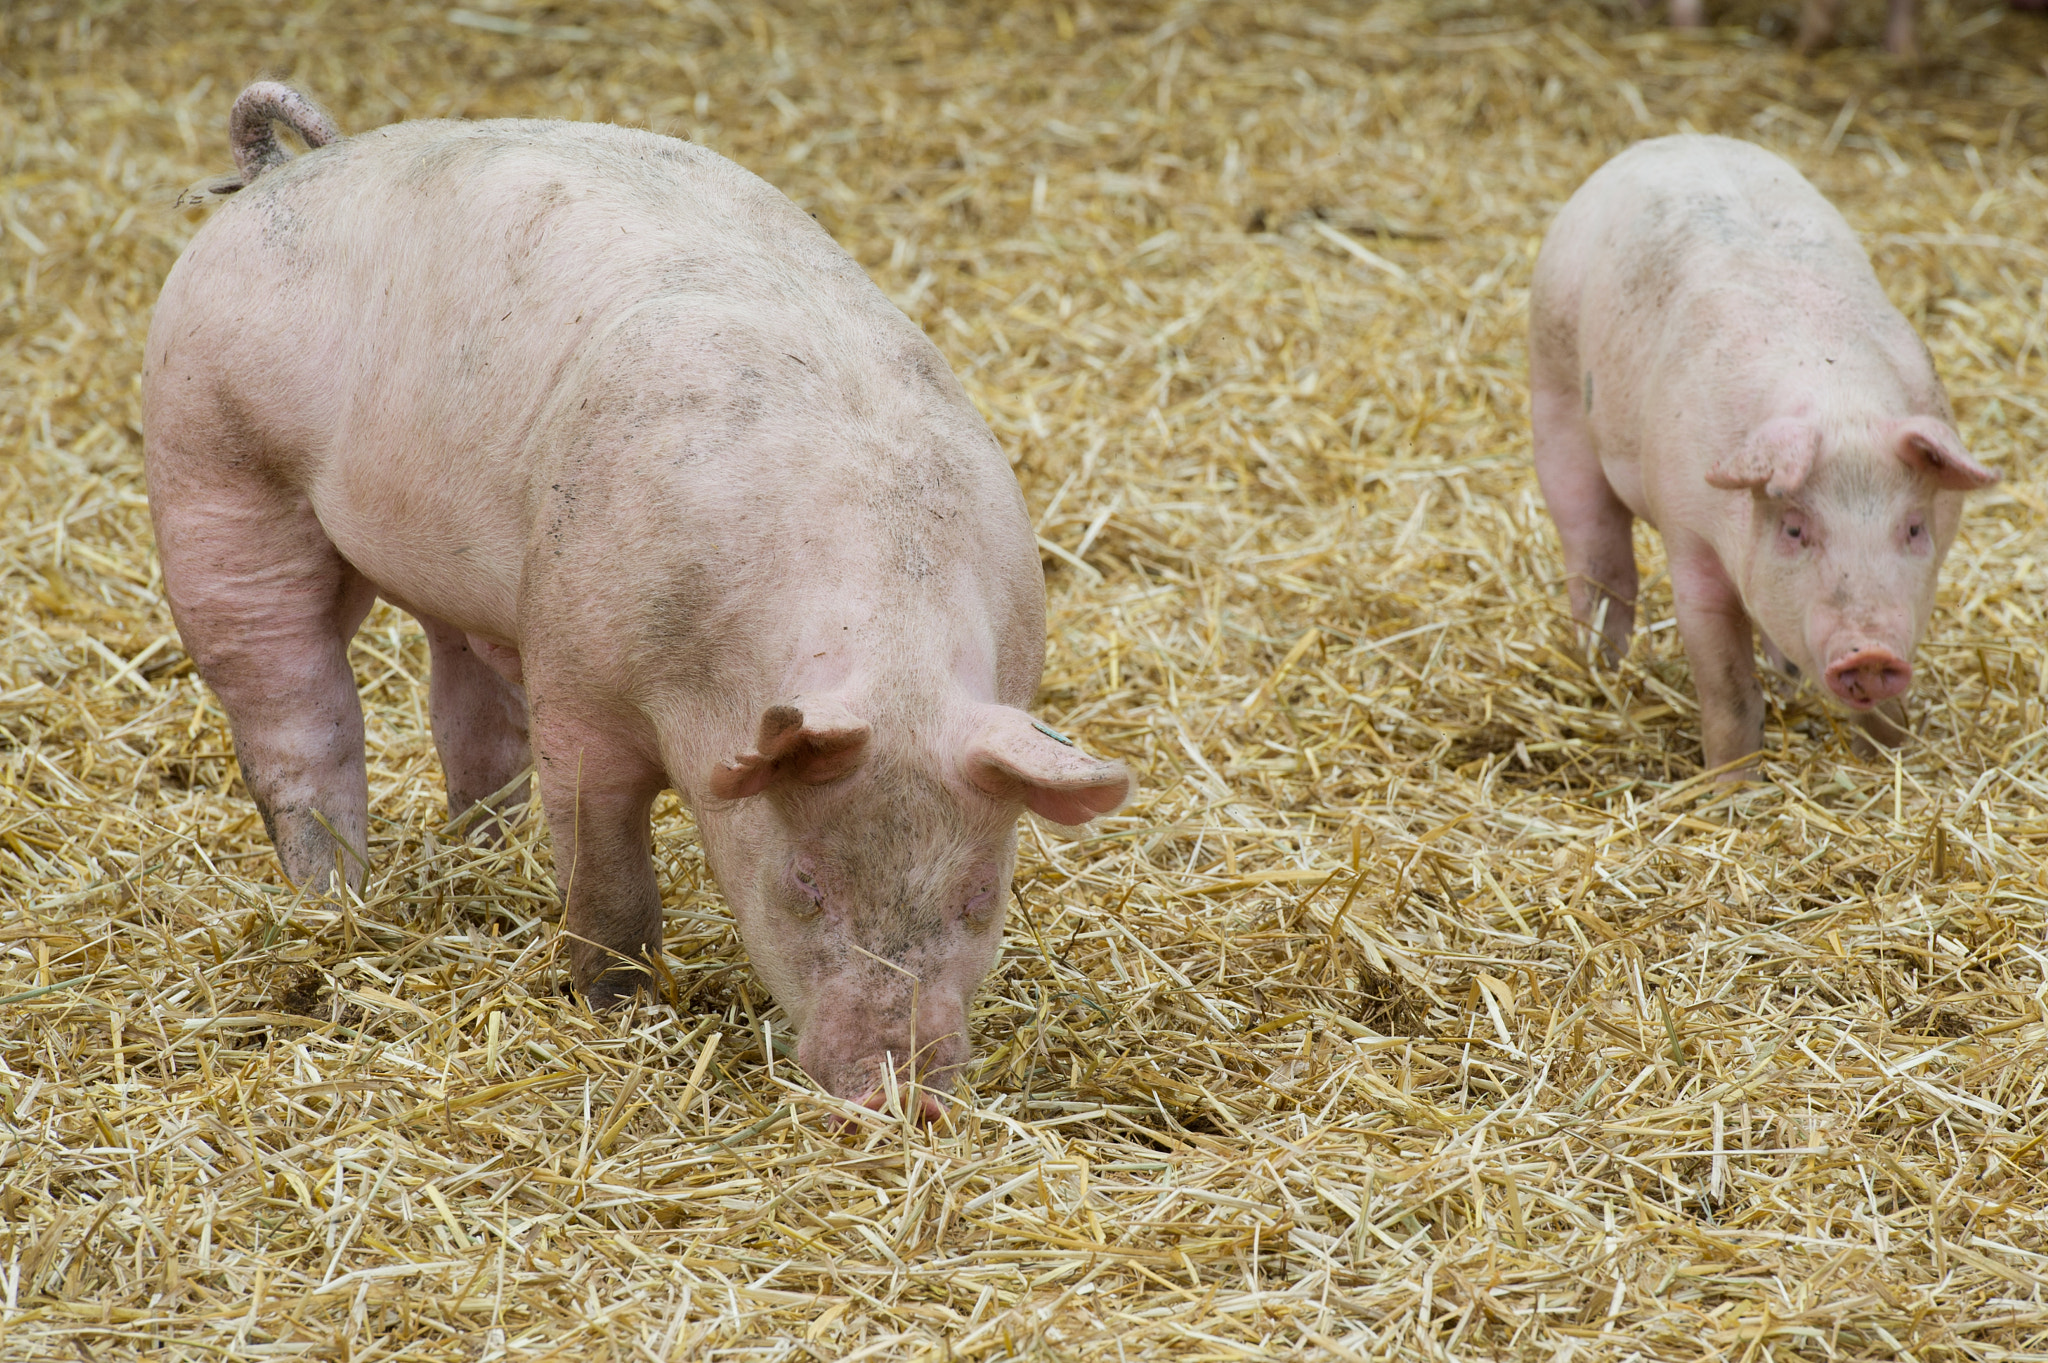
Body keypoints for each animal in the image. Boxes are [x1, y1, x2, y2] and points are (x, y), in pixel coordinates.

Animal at [144, 83, 1132, 1120]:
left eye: (980, 893)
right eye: (805, 882)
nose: (896, 1092)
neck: (888, 643)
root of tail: (277, 172)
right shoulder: (581, 676)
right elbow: (606, 864)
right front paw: (620, 1009)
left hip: (479, 579)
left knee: (467, 707)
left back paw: (485, 854)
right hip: (213, 465)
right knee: (294, 711)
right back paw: (334, 896)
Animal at [1528, 135, 1996, 776]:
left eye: (1914, 528)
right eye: (1794, 529)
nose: (1870, 652)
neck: (1837, 403)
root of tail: (1671, 141)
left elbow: (1884, 710)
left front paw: (1885, 763)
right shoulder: (1689, 536)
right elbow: (1727, 687)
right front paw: (1732, 784)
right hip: (1555, 399)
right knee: (1599, 560)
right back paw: (1604, 670)